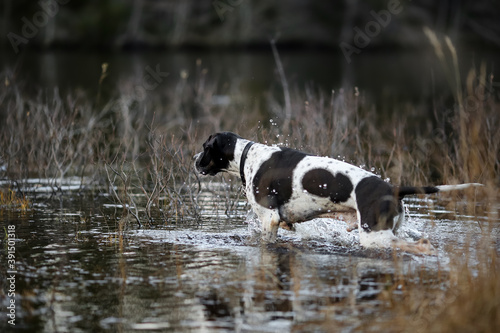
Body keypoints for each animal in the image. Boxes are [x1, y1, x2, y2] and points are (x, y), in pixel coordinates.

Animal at [194, 131, 480, 250]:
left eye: (206, 147)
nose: (194, 159)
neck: (247, 155)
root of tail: (393, 187)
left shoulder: (269, 219)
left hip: (375, 235)